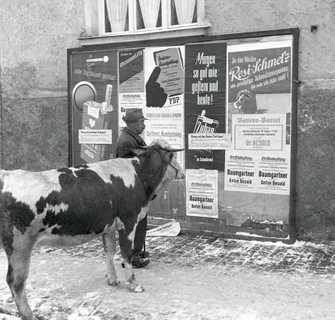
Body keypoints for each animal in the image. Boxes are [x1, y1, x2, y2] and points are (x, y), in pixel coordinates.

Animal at [0, 140, 184, 320]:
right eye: (174, 156)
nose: (182, 172)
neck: (139, 175)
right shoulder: (128, 222)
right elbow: (126, 254)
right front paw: (133, 284)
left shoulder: (109, 227)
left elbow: (109, 252)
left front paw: (112, 280)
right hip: (19, 244)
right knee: (15, 280)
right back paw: (29, 315)